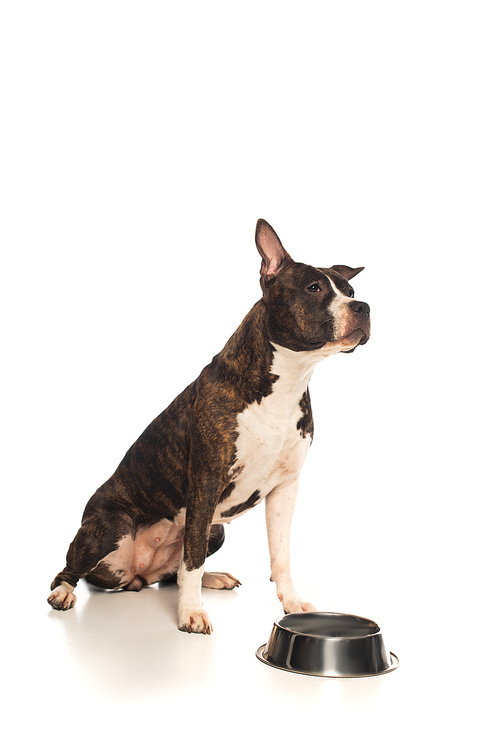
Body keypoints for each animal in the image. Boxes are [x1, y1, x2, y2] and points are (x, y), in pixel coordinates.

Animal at [48, 218, 370, 632]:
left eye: (350, 291)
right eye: (314, 288)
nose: (363, 306)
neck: (288, 380)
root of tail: (137, 575)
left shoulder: (285, 488)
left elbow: (279, 555)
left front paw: (292, 602)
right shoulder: (206, 478)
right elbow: (193, 559)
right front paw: (191, 613)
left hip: (216, 530)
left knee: (174, 570)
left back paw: (213, 578)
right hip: (109, 527)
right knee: (71, 570)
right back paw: (64, 593)